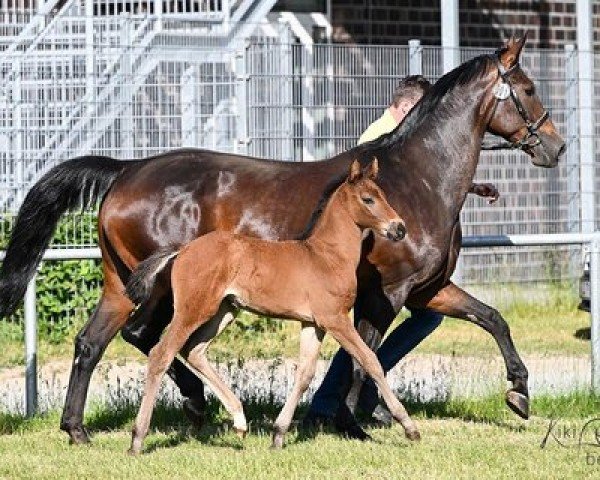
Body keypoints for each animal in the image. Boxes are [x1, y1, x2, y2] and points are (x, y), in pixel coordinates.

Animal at [125, 158, 420, 454]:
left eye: (384, 196)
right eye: (368, 199)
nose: (400, 228)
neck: (326, 257)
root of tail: (183, 250)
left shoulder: (313, 324)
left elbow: (305, 374)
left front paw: (278, 434)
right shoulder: (335, 319)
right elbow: (370, 360)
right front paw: (409, 427)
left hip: (224, 310)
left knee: (194, 351)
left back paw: (240, 421)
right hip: (193, 310)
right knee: (161, 354)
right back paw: (137, 439)